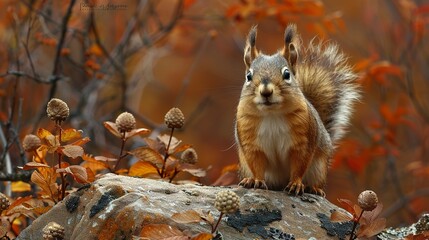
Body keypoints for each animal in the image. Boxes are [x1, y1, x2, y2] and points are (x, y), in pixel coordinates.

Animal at [234, 24, 358, 197]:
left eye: (287, 74)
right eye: (248, 76)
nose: (266, 91)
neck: (272, 114)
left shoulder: (303, 141)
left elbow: (299, 165)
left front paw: (296, 184)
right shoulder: (250, 142)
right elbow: (256, 164)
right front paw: (256, 180)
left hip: (319, 168)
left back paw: (314, 188)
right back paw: (249, 180)